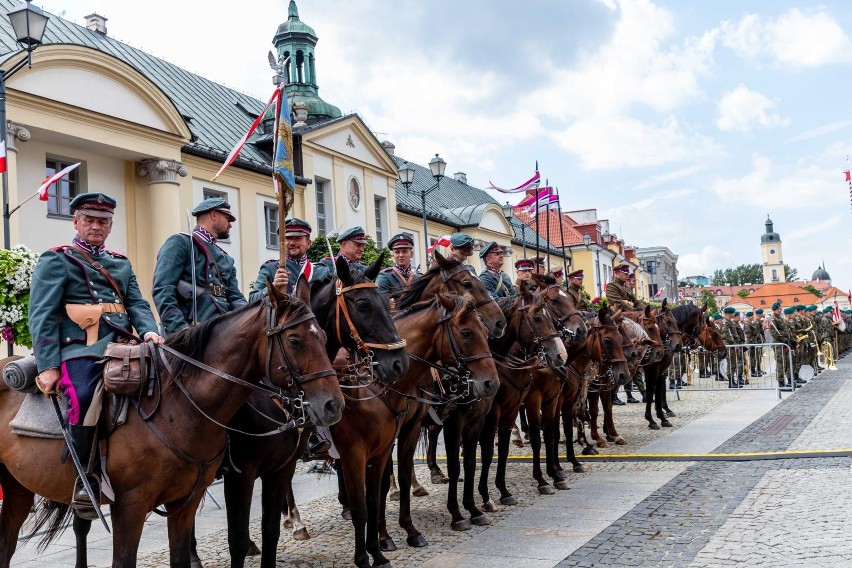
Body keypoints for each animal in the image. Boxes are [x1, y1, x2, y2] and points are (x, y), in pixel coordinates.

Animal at [0, 278, 342, 564]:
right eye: (295, 340)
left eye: (324, 336)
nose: (332, 404)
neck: (177, 405)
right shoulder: (134, 506)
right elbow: (236, 539)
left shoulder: (191, 499)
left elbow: (255, 535)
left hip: (18, 488)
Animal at [332, 292, 492, 568]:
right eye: (466, 333)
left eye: (484, 330)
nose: (491, 382)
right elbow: (386, 484)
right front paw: (384, 538)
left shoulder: (413, 429)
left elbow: (406, 476)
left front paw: (410, 530)